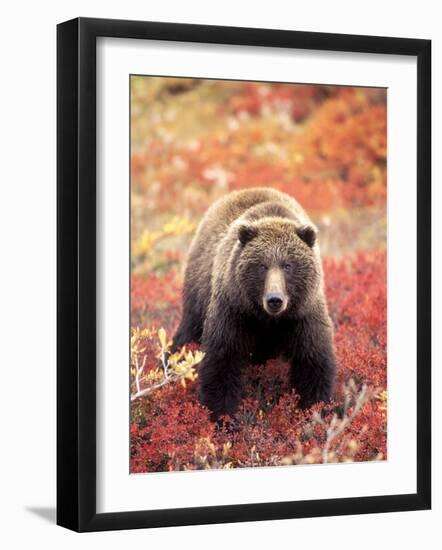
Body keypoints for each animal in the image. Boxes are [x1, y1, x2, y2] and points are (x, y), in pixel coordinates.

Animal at [173, 188, 334, 420]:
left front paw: (316, 411)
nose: (274, 299)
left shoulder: (303, 315)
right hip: (199, 291)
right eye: (262, 266)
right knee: (187, 333)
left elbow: (313, 362)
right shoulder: (234, 311)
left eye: (288, 265)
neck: (268, 319)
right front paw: (223, 417)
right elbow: (222, 361)